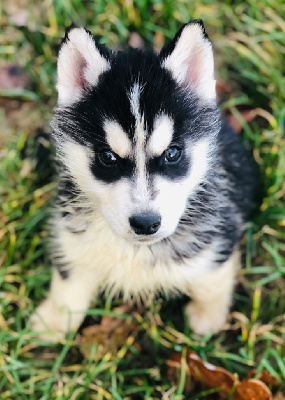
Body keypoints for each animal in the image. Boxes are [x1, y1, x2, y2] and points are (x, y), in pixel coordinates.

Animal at [31, 20, 255, 340]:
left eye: (172, 153)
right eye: (108, 157)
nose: (146, 223)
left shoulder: (220, 229)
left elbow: (212, 274)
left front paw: (208, 315)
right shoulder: (71, 234)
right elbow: (68, 278)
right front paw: (56, 319)